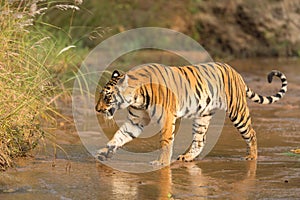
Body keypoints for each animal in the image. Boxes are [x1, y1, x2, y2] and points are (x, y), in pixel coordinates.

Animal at [95, 62, 288, 166]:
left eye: (107, 96)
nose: (97, 109)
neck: (136, 98)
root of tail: (235, 71)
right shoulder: (136, 120)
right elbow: (120, 135)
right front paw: (104, 152)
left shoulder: (167, 119)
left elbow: (165, 141)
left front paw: (161, 162)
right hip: (202, 116)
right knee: (200, 140)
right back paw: (187, 157)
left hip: (237, 111)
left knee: (251, 133)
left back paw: (251, 157)